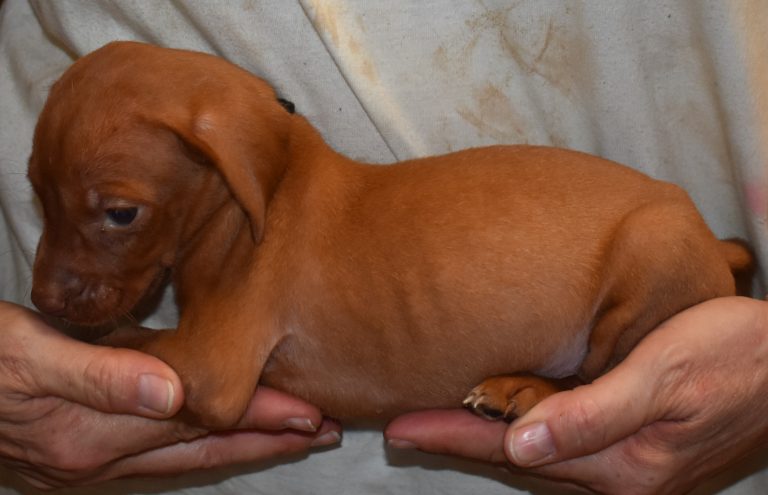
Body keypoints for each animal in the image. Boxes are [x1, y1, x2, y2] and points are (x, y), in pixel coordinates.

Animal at [28, 41, 752, 428]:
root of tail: (716, 243)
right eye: (35, 190)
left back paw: (524, 389)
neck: (248, 204)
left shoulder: (211, 363)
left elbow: (124, 336)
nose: (42, 301)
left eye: (122, 214)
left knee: (597, 374)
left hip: (649, 252)